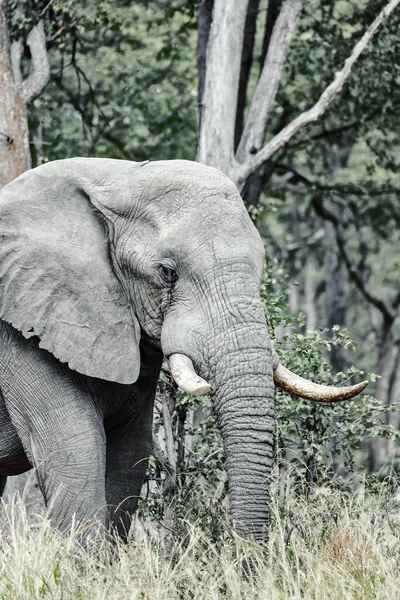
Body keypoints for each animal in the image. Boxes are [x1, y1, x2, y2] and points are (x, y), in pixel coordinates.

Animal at [0, 157, 368, 540]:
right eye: (167, 273)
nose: (247, 552)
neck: (117, 178)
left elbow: (128, 457)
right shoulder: (21, 331)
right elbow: (76, 450)